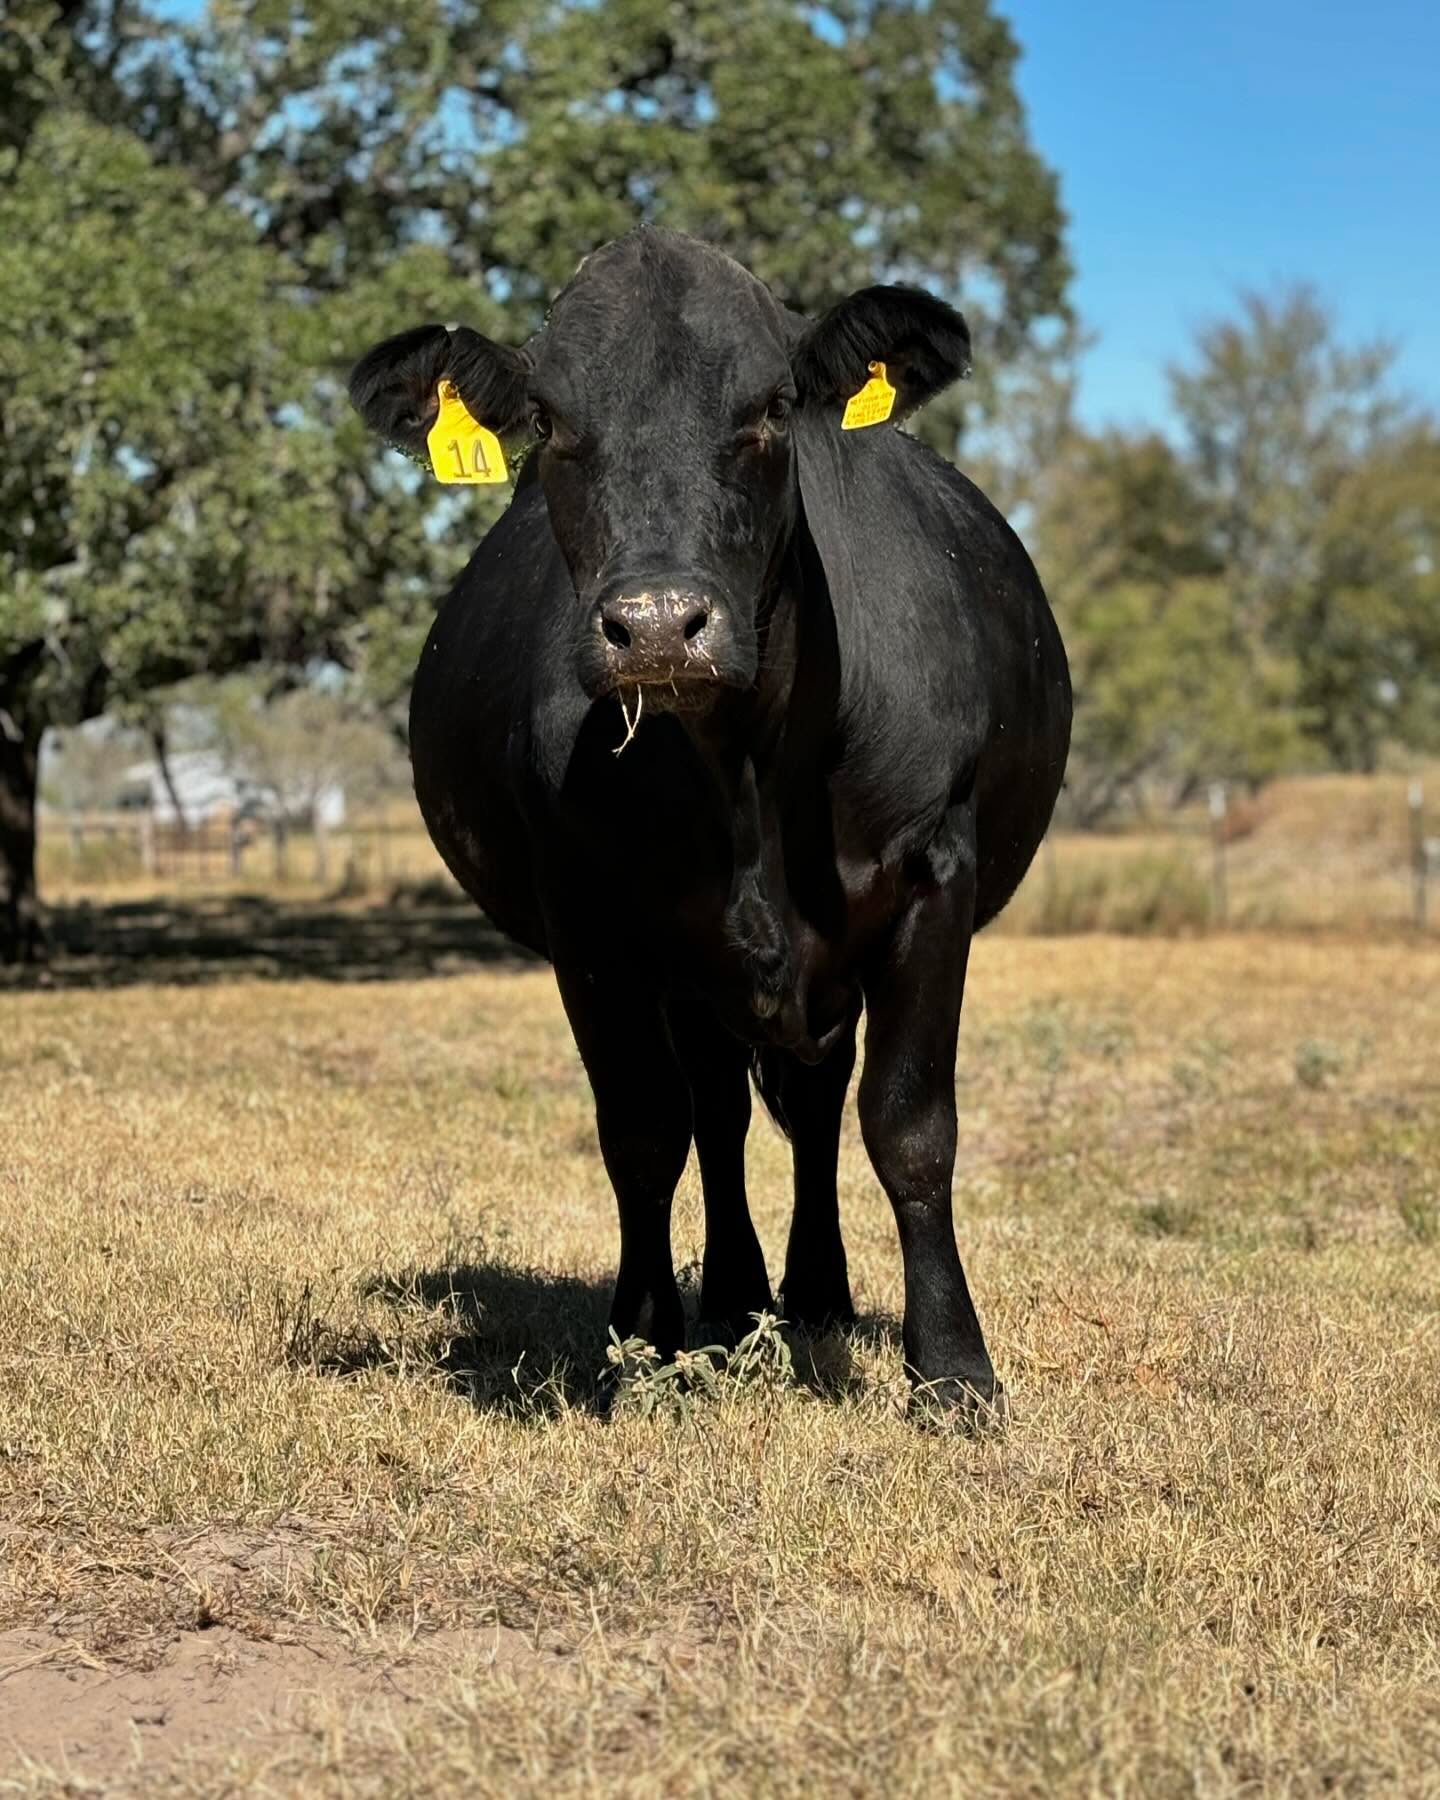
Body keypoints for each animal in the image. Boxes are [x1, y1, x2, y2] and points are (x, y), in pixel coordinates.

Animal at [349, 228, 1071, 1422]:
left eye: (775, 405)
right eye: (548, 419)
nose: (655, 625)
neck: (750, 768)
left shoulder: (935, 876)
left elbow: (911, 1126)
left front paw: (955, 1370)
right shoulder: (592, 923)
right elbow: (646, 1131)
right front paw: (642, 1343)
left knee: (815, 1104)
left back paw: (813, 1295)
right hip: (695, 973)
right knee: (724, 1114)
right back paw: (732, 1304)